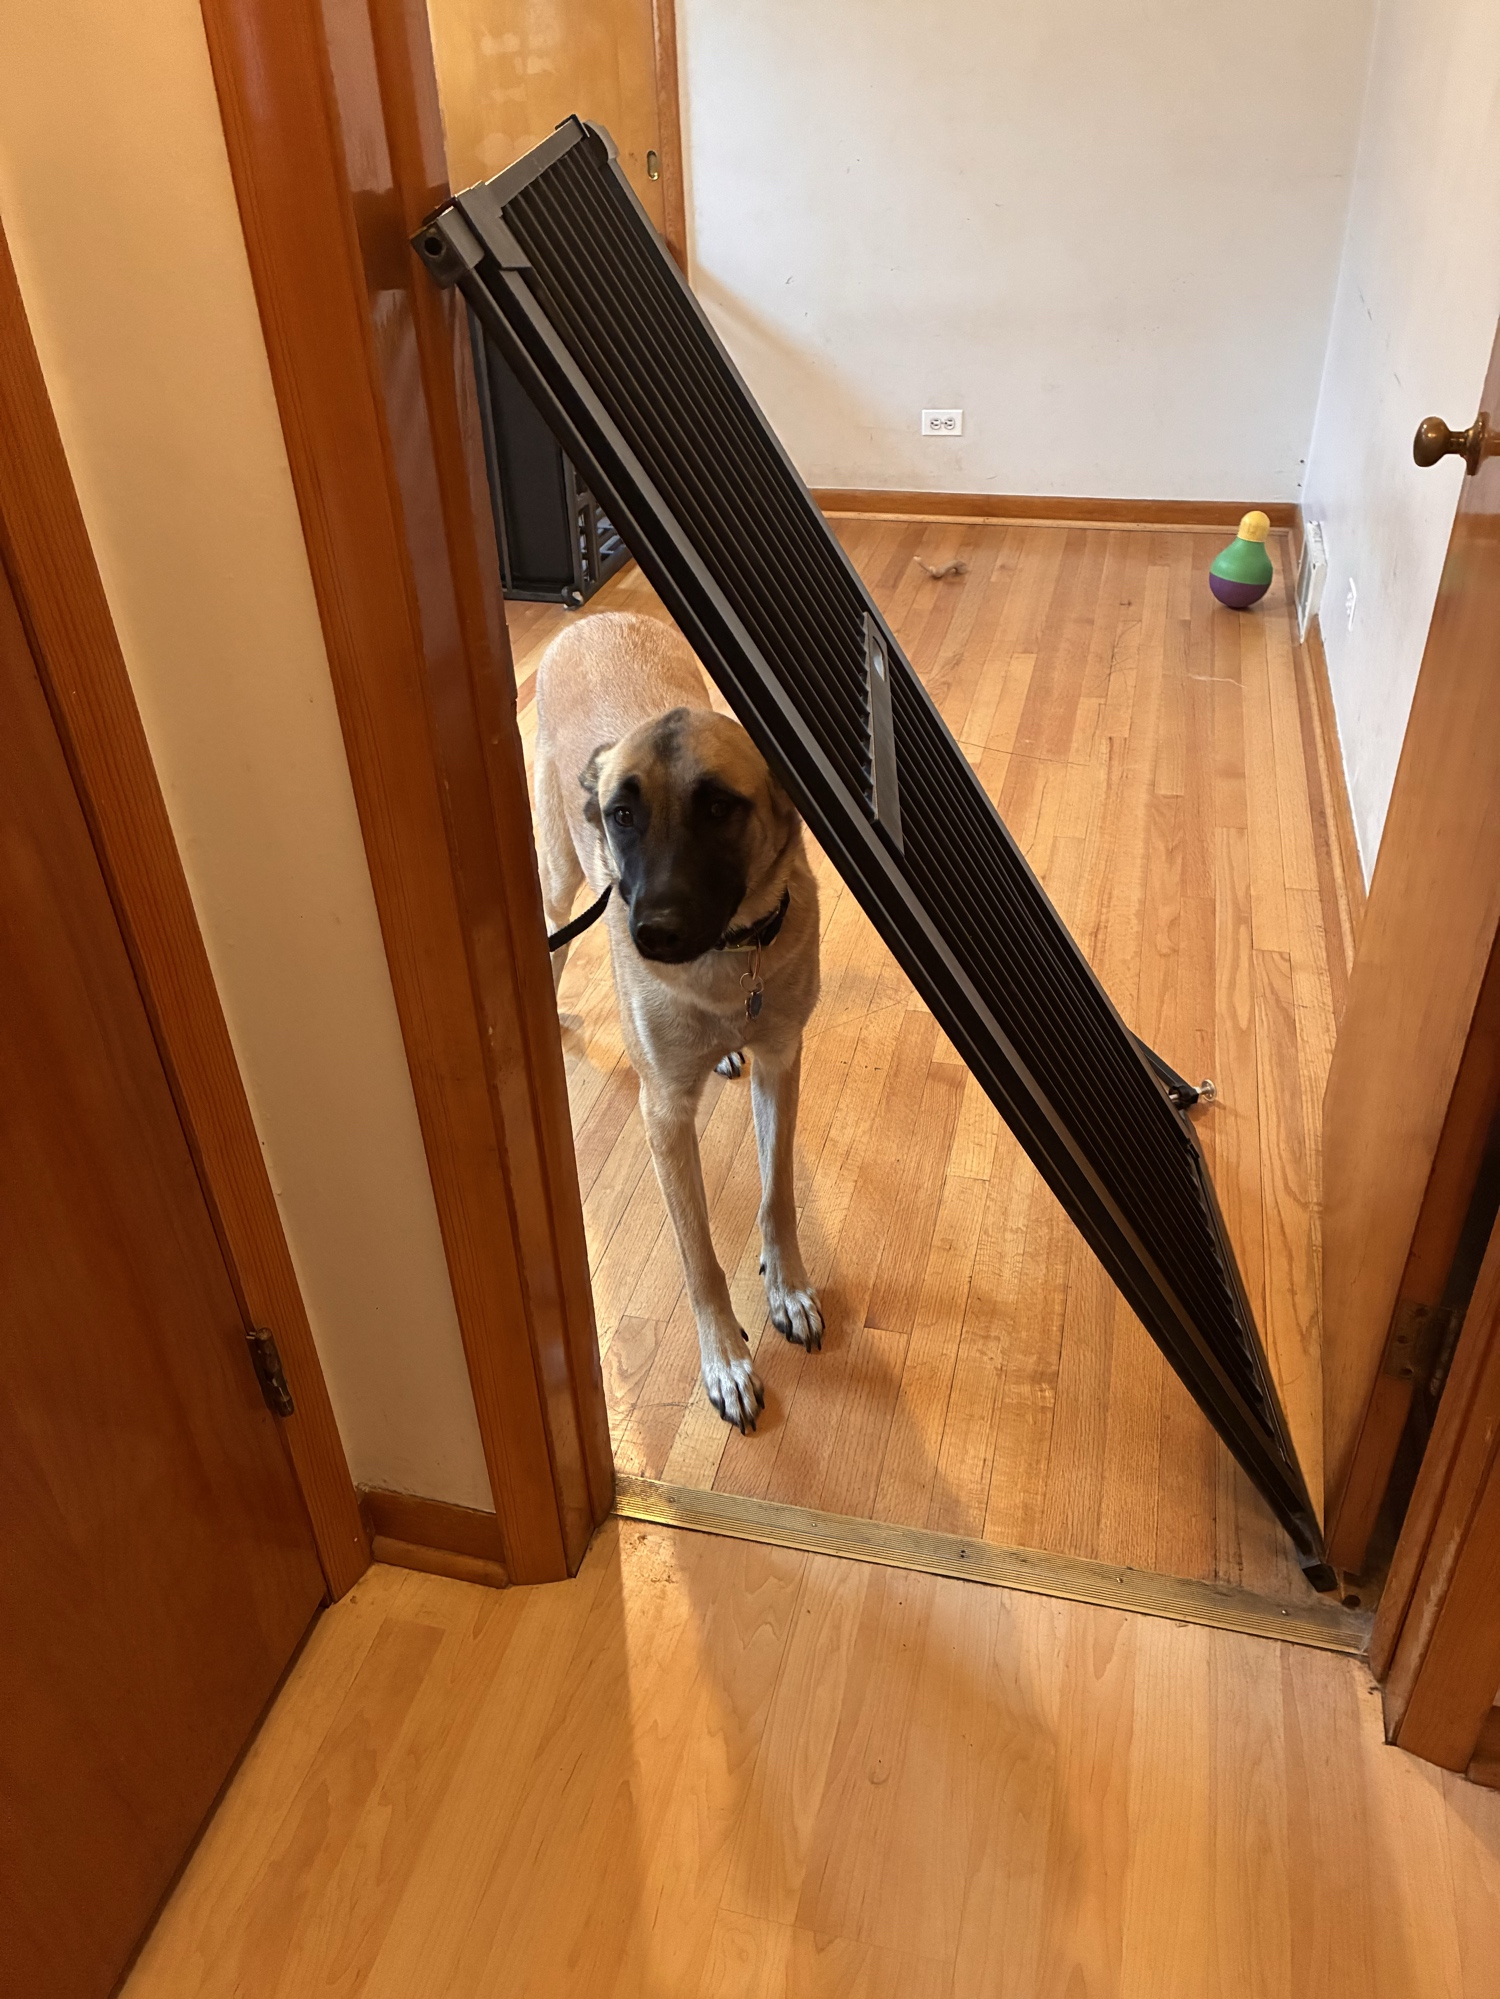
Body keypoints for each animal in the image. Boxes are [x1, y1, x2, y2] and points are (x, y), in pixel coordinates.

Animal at [533, 610, 823, 1431]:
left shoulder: (783, 1060)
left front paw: (787, 1285)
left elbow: (775, 1193)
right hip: (560, 868)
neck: (730, 960)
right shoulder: (663, 1116)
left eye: (720, 808)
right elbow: (697, 1255)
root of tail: (596, 616)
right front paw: (724, 1357)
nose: (651, 933)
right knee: (551, 929)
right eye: (623, 816)